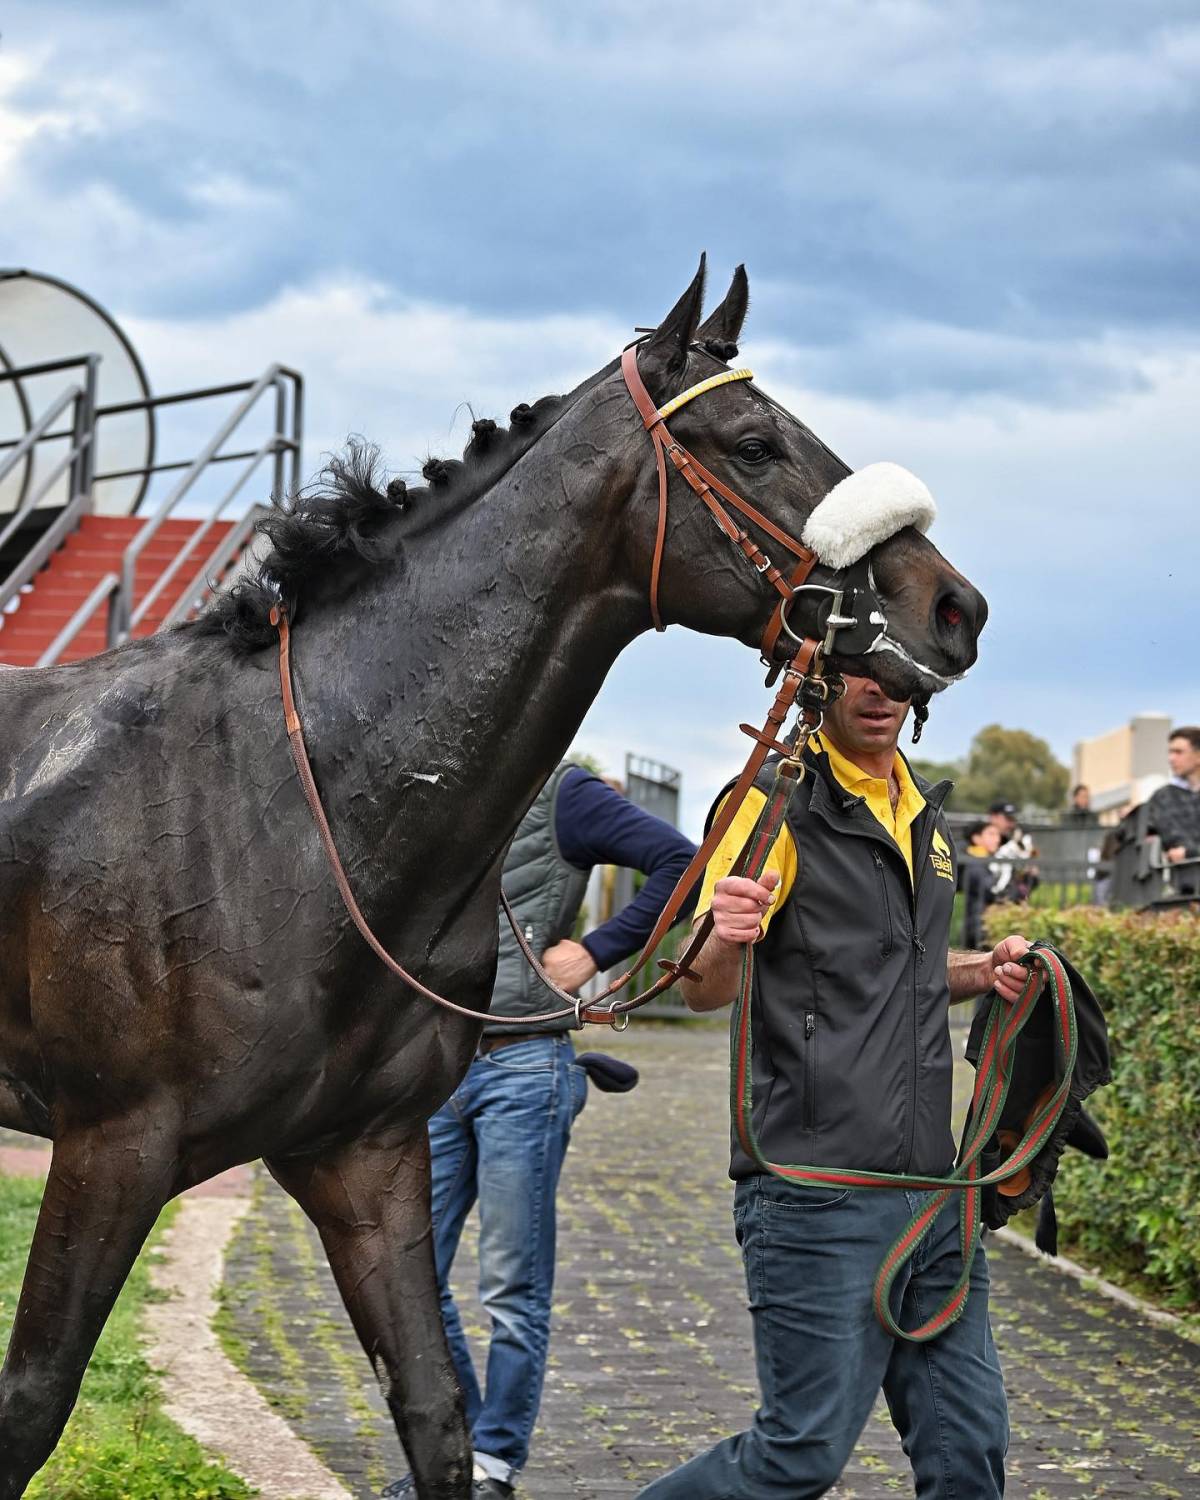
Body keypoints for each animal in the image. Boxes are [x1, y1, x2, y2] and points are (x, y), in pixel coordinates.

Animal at [0, 264, 984, 1494]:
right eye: (756, 442)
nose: (953, 606)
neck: (278, 806)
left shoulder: (362, 1157)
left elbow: (436, 1411)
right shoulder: (110, 1147)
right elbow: (31, 1405)